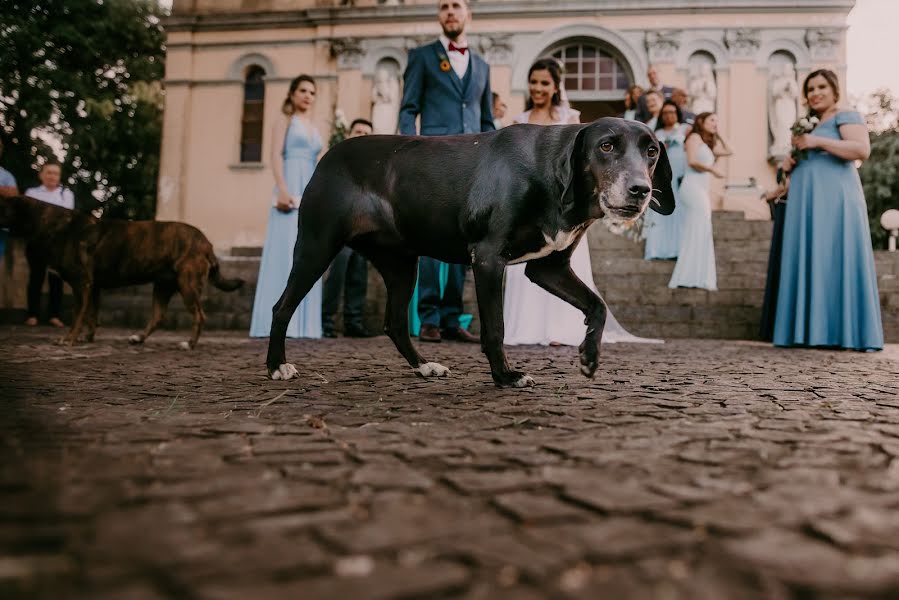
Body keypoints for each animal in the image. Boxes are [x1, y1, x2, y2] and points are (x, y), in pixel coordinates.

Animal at [268, 119, 676, 386]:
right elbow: (495, 326)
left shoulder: (549, 269)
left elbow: (598, 305)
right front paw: (505, 375)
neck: (551, 173)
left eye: (651, 151)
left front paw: (590, 356)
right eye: (606, 146)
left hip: (401, 265)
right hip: (316, 248)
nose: (640, 190)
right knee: (281, 307)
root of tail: (328, 156)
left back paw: (424, 367)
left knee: (395, 323)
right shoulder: (488, 259)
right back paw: (276, 366)